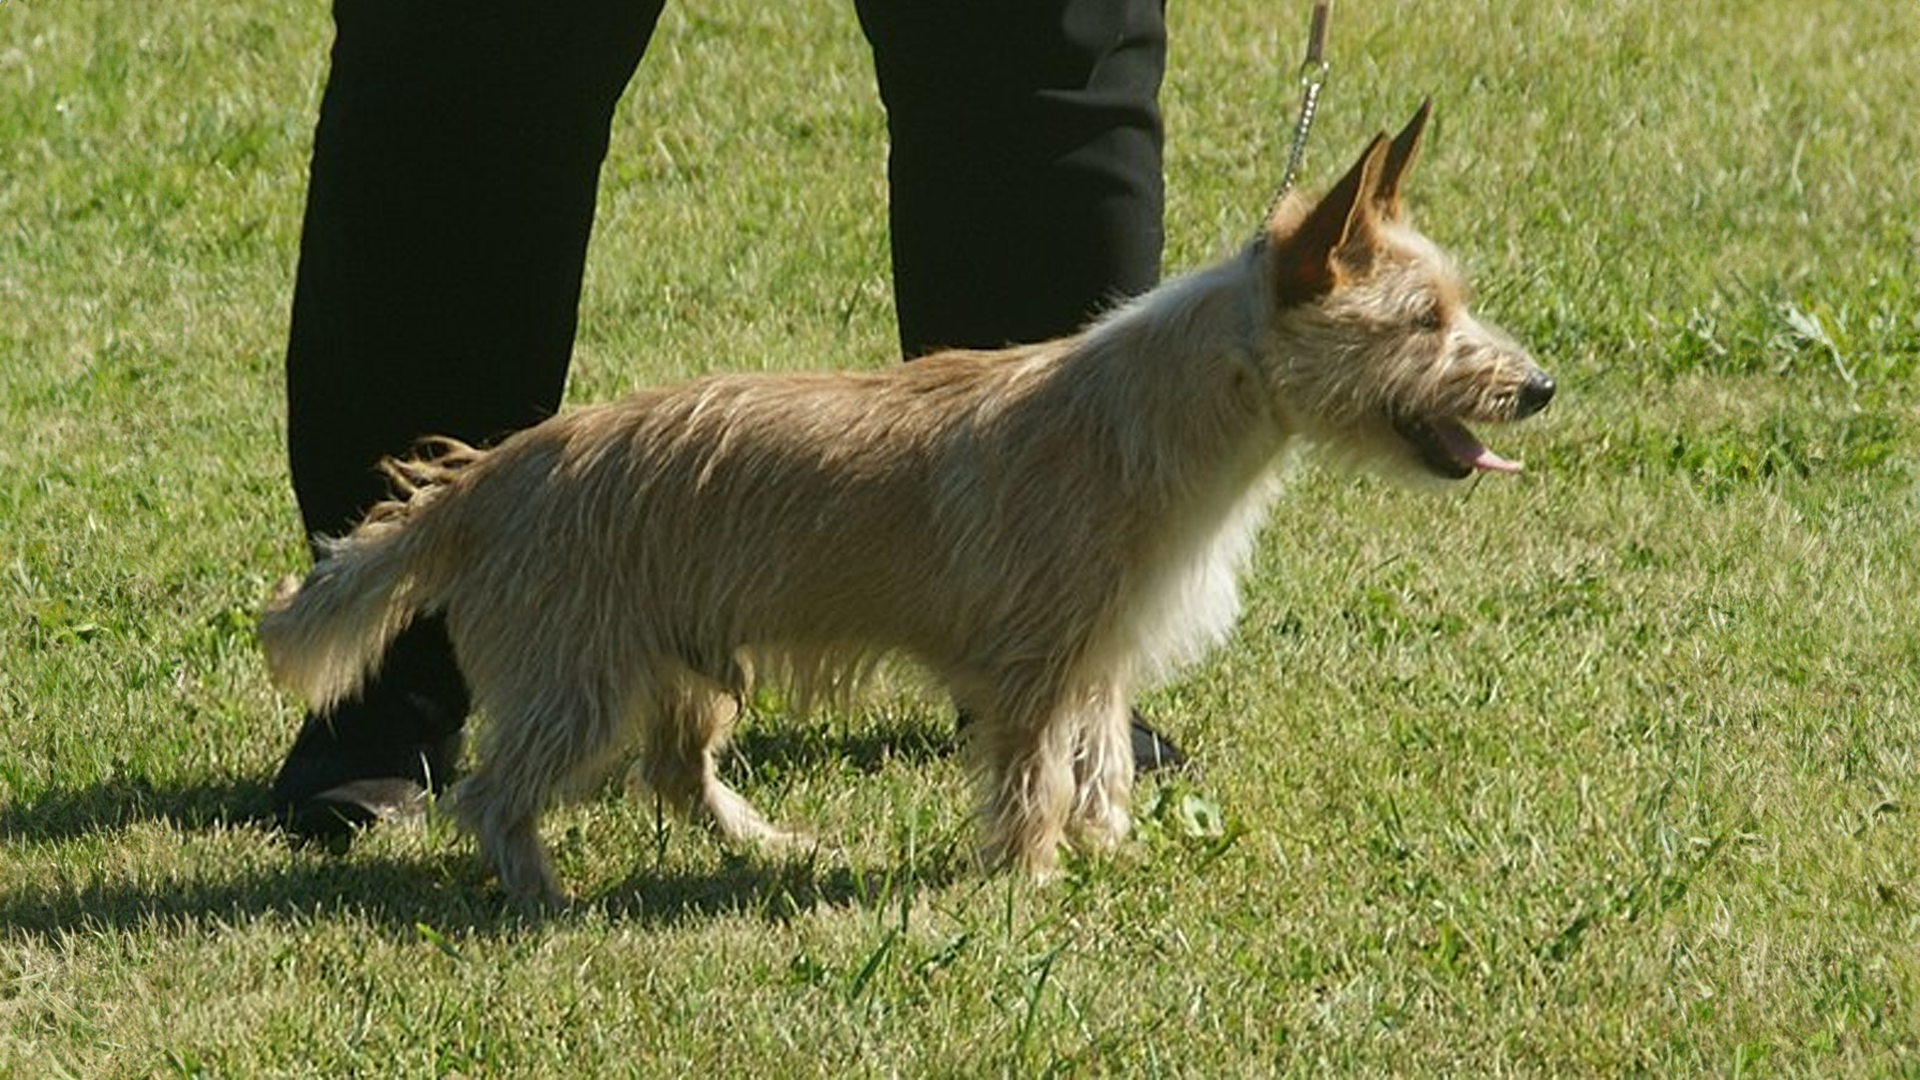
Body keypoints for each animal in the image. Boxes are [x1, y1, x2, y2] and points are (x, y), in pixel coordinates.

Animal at [263, 102, 1559, 907]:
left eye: (1456, 305)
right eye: (1425, 323)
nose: (1539, 387)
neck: (1165, 415)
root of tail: (491, 474)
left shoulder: (1095, 661)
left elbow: (1100, 764)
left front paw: (1107, 853)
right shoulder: (1032, 666)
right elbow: (1037, 774)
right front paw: (1033, 881)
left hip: (684, 666)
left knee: (674, 775)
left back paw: (767, 842)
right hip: (581, 680)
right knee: (496, 791)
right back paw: (540, 893)